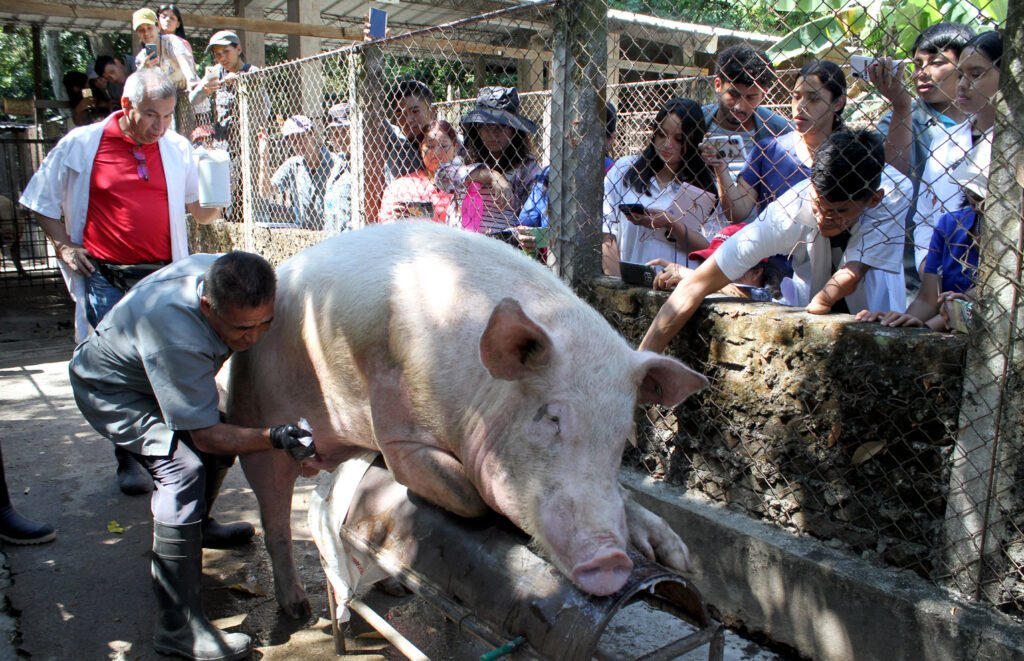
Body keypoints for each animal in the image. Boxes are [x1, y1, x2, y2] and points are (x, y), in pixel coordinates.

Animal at [227, 221, 708, 618]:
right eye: (551, 417)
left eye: (621, 433)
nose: (611, 559)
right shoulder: (399, 432)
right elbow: (469, 495)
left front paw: (678, 557)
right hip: (255, 417)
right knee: (273, 519)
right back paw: (298, 610)